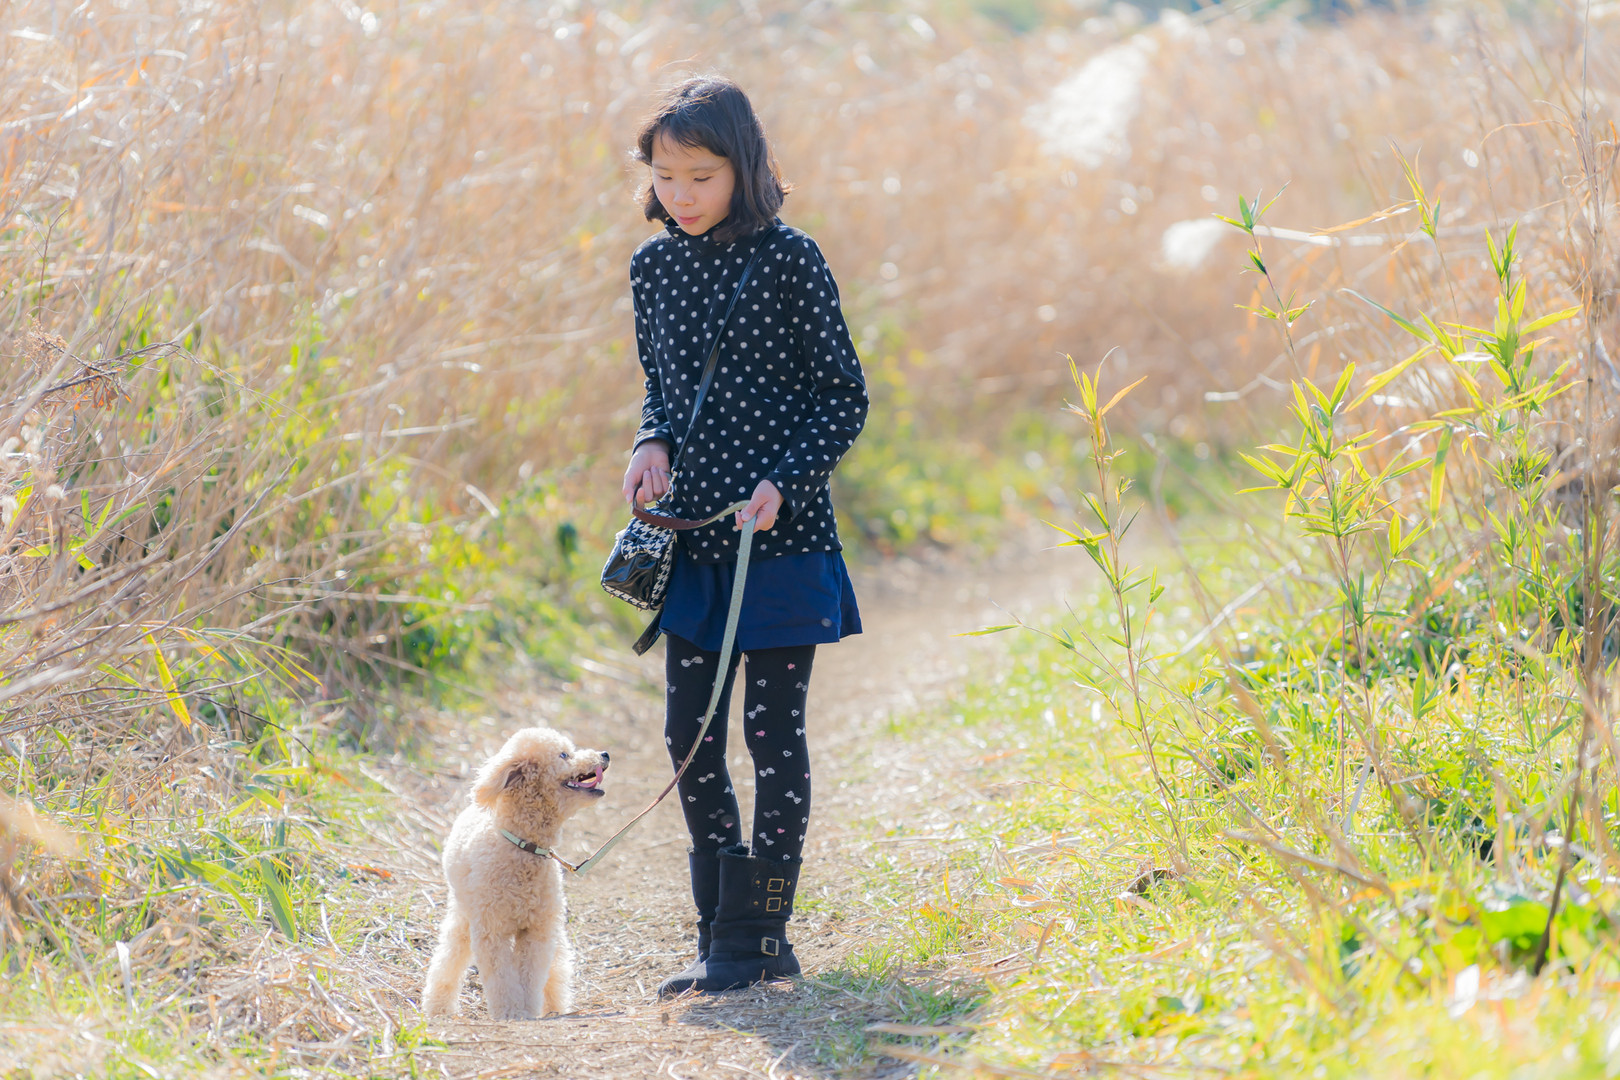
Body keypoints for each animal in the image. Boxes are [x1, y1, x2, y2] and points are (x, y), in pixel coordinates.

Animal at [422, 727, 609, 1020]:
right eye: (564, 754)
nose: (605, 754)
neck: (522, 846)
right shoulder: (492, 931)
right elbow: (501, 978)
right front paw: (511, 1013)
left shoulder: (537, 929)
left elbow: (531, 975)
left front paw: (528, 1010)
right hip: (465, 912)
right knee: (450, 956)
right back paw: (438, 1006)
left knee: (557, 966)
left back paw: (556, 1007)